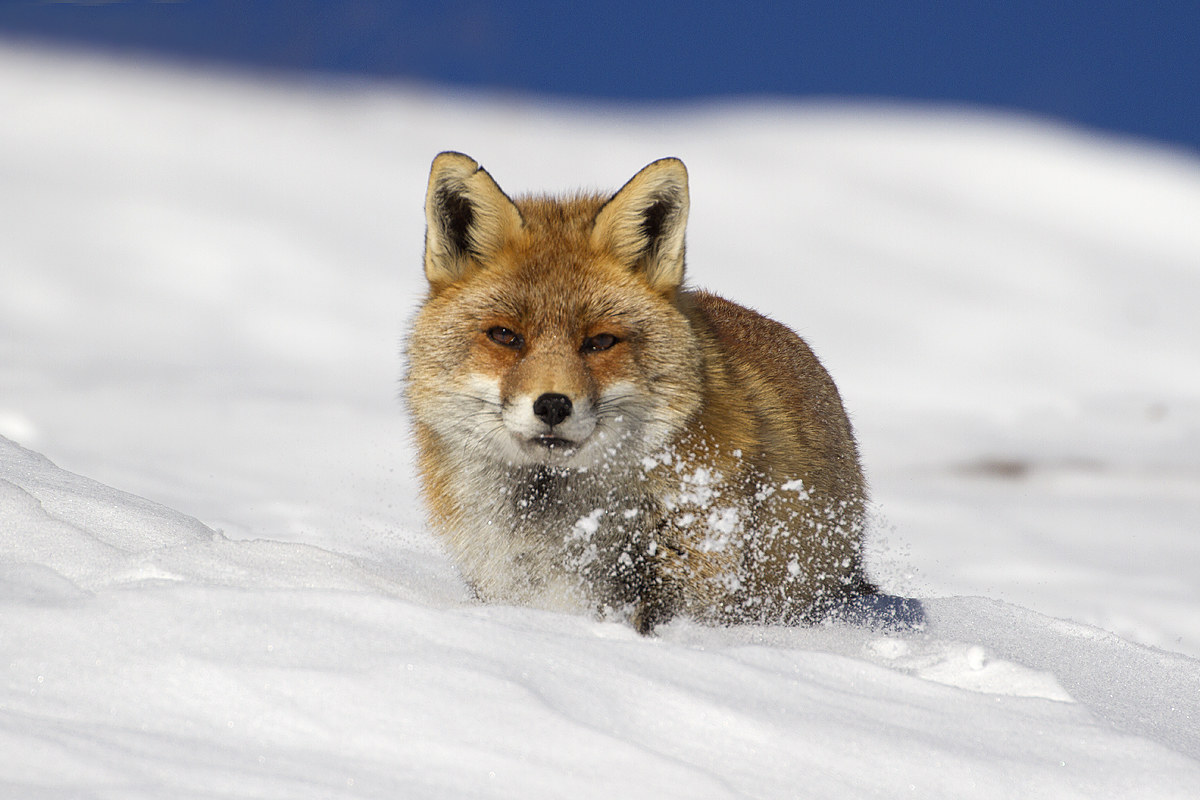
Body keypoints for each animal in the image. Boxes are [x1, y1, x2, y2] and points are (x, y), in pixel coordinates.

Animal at [405, 152, 918, 634]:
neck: (565, 518)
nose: (552, 405)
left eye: (600, 342)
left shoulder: (691, 564)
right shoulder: (503, 576)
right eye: (505, 336)